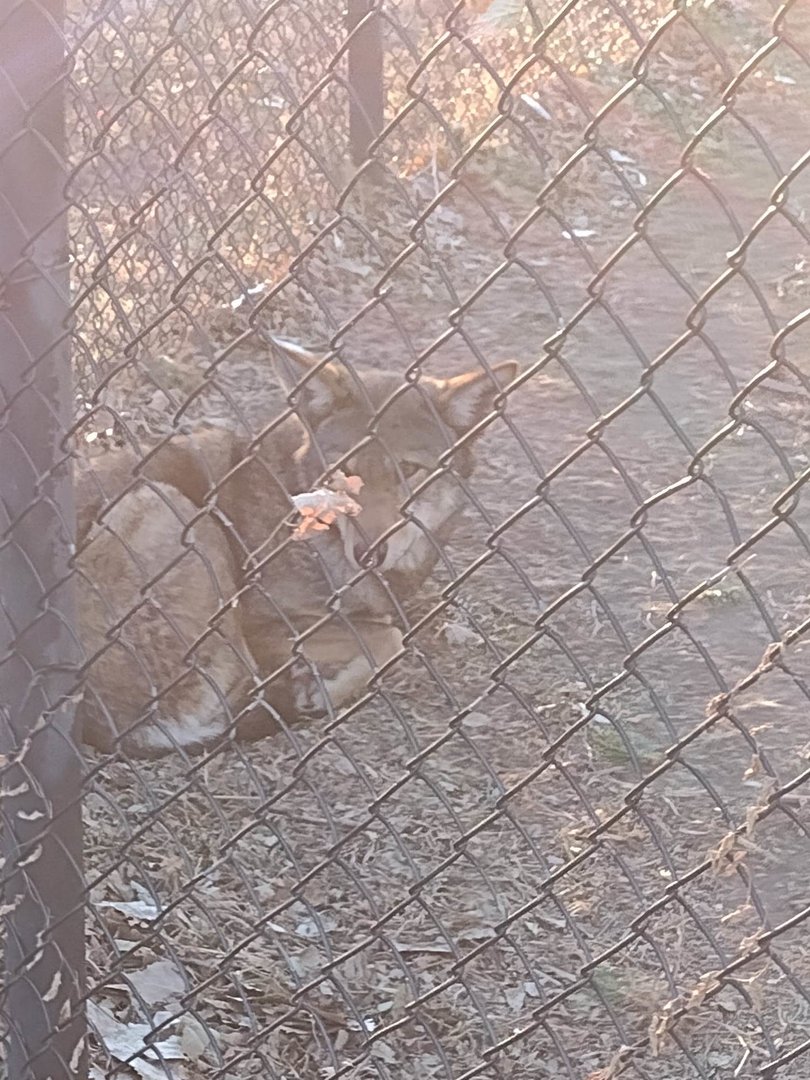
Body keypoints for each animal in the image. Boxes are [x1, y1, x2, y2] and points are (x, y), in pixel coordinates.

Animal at [75, 340, 517, 756]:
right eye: (345, 471)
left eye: (408, 470)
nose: (368, 555)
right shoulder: (263, 621)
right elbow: (391, 639)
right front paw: (316, 684)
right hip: (172, 507)